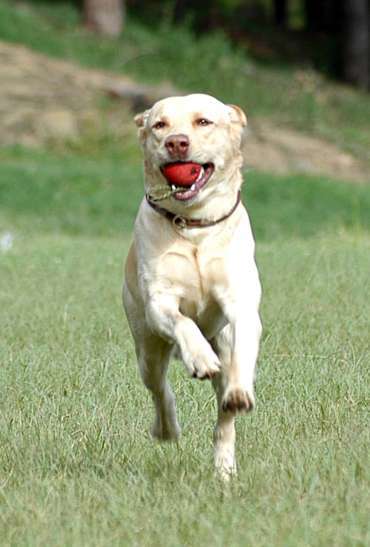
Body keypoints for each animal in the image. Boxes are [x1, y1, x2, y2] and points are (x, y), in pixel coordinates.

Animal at [123, 94, 262, 480]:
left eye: (203, 122)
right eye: (160, 125)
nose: (176, 143)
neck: (193, 225)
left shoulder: (241, 303)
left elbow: (244, 344)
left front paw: (240, 389)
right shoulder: (159, 302)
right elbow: (183, 322)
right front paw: (200, 359)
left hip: (220, 341)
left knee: (224, 421)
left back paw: (225, 469)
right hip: (147, 347)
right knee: (159, 390)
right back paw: (167, 429)